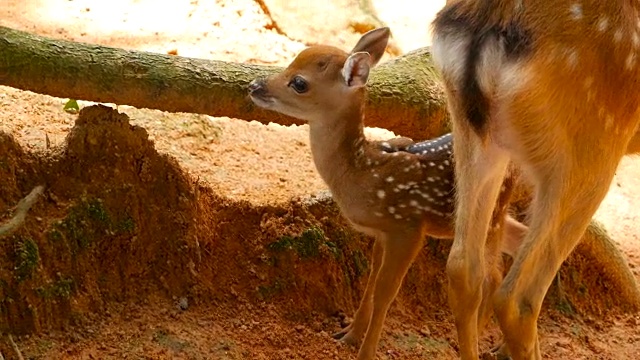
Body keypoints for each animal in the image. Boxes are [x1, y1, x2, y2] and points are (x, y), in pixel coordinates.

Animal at [248, 27, 528, 360]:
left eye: (299, 82)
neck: (362, 172)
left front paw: (364, 351)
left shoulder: (407, 226)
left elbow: (386, 292)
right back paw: (502, 345)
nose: (254, 86)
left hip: (491, 212)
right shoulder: (381, 232)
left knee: (490, 275)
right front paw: (348, 334)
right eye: (290, 63)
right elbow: (370, 283)